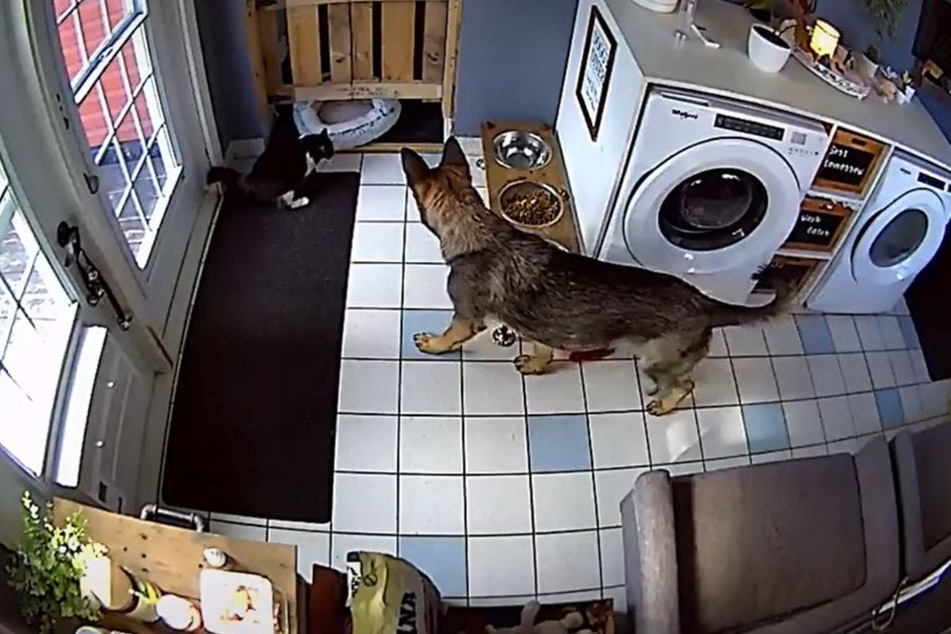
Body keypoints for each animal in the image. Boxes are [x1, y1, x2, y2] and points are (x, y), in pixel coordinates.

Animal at [402, 138, 788, 414]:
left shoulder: (466, 318)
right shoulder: (539, 328)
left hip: (656, 360)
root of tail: (705, 302)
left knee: (685, 387)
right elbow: (543, 349)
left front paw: (433, 344)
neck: (476, 229)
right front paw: (537, 364)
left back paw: (664, 405)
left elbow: (450, 336)